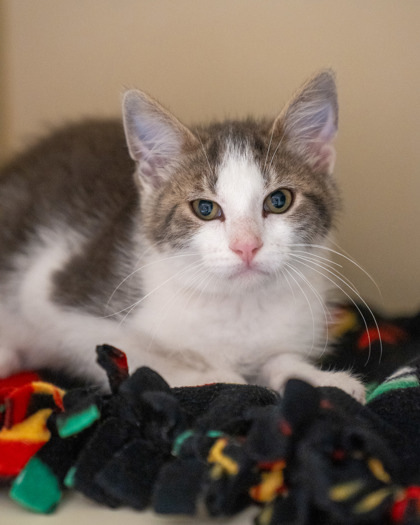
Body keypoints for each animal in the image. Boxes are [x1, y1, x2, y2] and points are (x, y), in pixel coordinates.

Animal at [0, 68, 366, 398]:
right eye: (205, 208)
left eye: (279, 201)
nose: (246, 246)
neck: (238, 306)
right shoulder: (55, 293)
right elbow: (139, 358)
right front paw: (218, 376)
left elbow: (280, 359)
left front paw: (319, 379)